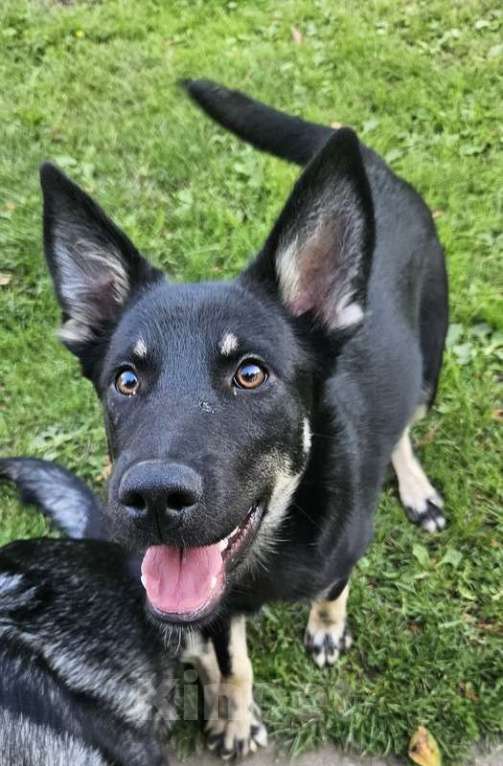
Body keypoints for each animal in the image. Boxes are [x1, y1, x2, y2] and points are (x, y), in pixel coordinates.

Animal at [32, 81, 448, 760]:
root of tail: (375, 169)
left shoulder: (344, 551)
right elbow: (234, 663)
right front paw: (233, 715)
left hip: (430, 357)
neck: (278, 540)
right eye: (126, 379)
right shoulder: (217, 610)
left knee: (407, 427)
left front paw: (326, 627)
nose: (152, 498)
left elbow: (333, 590)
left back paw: (416, 489)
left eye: (250, 374)